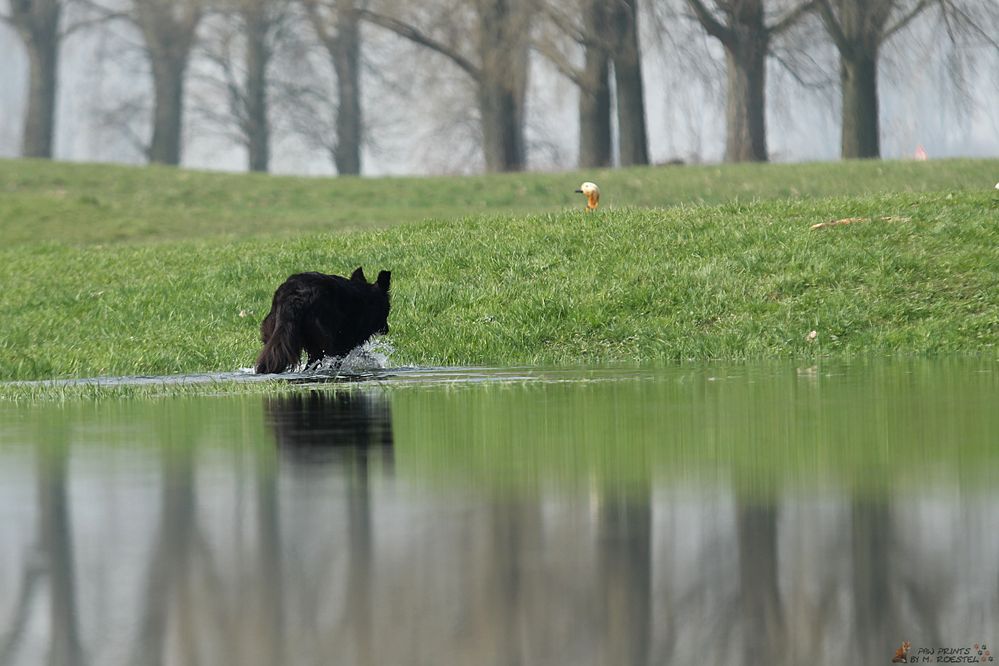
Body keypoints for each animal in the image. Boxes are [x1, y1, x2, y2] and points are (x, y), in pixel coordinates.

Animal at [256, 266, 392, 374]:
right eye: (387, 309)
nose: (386, 330)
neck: (368, 298)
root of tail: (296, 295)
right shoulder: (344, 346)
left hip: (275, 333)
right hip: (321, 341)